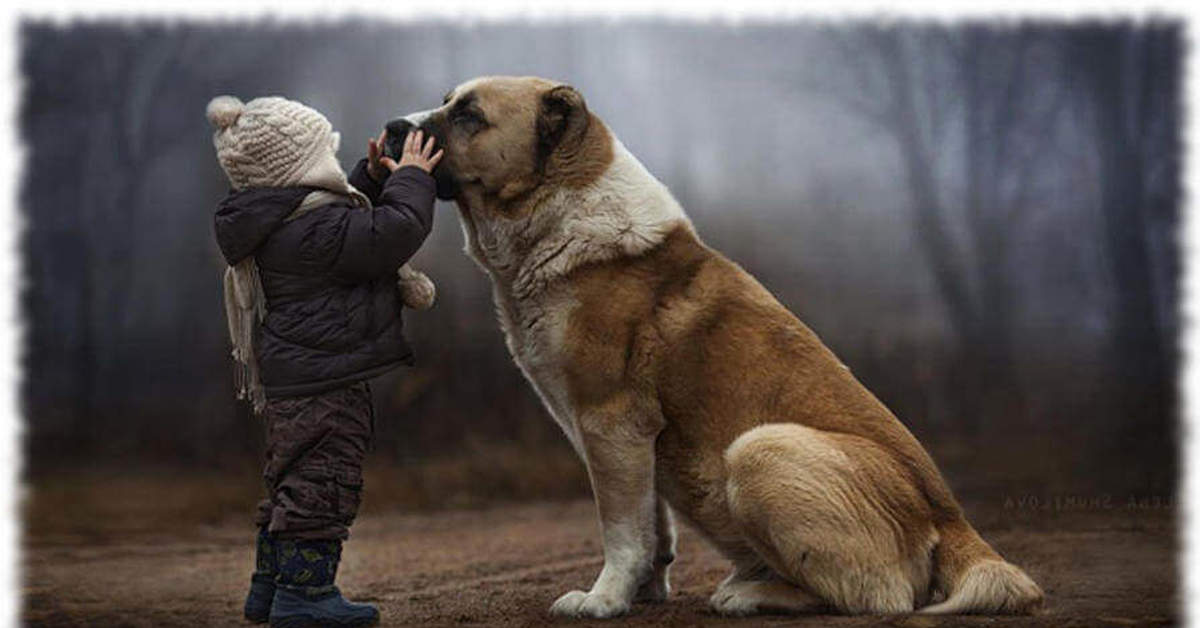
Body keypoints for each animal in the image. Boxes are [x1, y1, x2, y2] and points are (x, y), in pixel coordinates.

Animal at [388, 75, 1046, 619]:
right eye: (448, 101)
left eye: (469, 114)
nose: (393, 126)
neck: (559, 215)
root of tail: (953, 520)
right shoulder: (632, 441)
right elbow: (653, 527)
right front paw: (643, 594)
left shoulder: (610, 423)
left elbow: (621, 529)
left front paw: (603, 600)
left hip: (759, 450)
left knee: (878, 598)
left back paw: (749, 594)